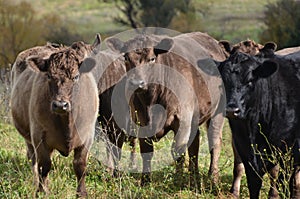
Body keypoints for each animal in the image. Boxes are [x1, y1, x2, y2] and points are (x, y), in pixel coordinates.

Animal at [10, 35, 101, 197]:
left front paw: (81, 193)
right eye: (48, 76)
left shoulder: (87, 136)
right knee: (33, 160)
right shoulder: (38, 136)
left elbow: (80, 166)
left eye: (76, 76)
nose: (60, 105)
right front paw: (41, 191)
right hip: (28, 138)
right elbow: (44, 165)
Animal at [105, 32, 227, 187]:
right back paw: (194, 176)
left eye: (152, 59)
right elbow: (147, 151)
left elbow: (178, 151)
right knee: (194, 144)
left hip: (218, 111)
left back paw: (213, 178)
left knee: (214, 142)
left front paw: (178, 180)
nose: (137, 83)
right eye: (126, 58)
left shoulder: (182, 120)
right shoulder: (141, 121)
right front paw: (145, 181)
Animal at [217, 43, 300, 197]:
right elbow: (253, 184)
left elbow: (282, 182)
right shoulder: (244, 151)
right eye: (223, 82)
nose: (232, 110)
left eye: (250, 81)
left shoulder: (288, 154)